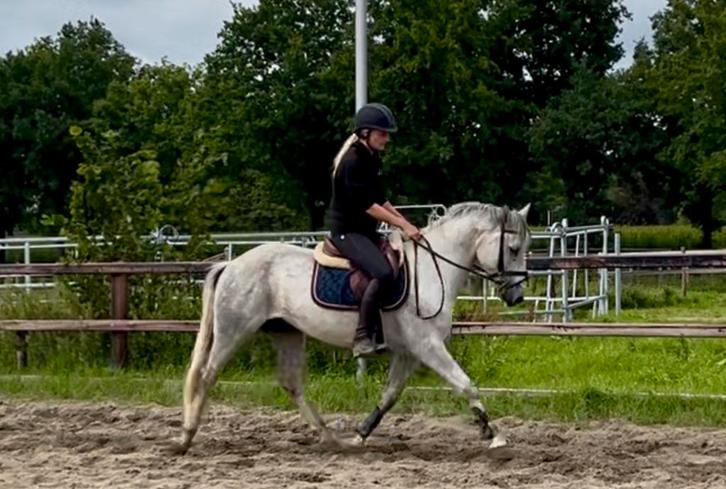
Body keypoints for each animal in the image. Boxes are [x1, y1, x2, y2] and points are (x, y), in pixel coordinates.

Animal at [177, 202, 531, 454]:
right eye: (513, 249)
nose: (516, 296)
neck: (433, 269)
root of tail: (231, 264)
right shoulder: (427, 345)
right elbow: (465, 383)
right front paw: (493, 433)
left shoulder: (409, 352)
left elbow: (390, 395)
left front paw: (360, 435)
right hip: (233, 330)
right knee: (207, 375)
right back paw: (187, 436)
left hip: (286, 332)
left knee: (291, 384)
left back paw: (329, 438)